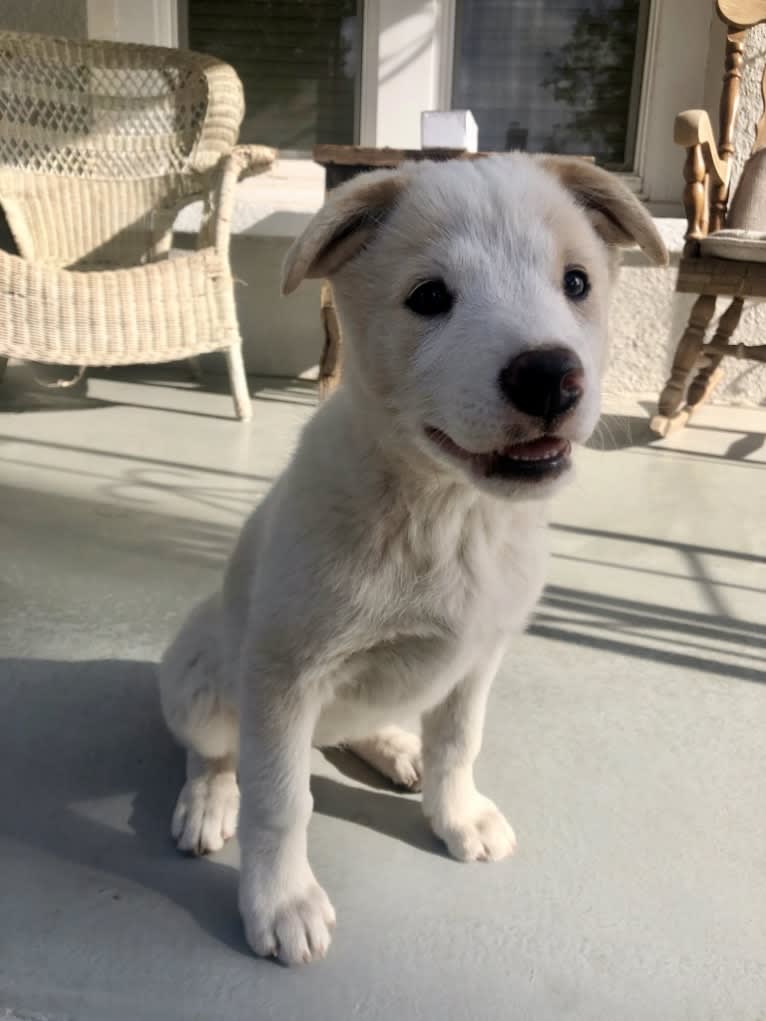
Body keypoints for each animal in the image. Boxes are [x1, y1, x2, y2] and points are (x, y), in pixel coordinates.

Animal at [159, 153, 669, 963]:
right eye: (429, 297)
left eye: (577, 282)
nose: (549, 377)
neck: (448, 518)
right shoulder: (283, 679)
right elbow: (281, 800)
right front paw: (282, 900)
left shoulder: (479, 657)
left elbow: (459, 743)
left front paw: (455, 815)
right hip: (202, 680)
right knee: (213, 750)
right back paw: (210, 799)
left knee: (360, 723)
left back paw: (396, 748)